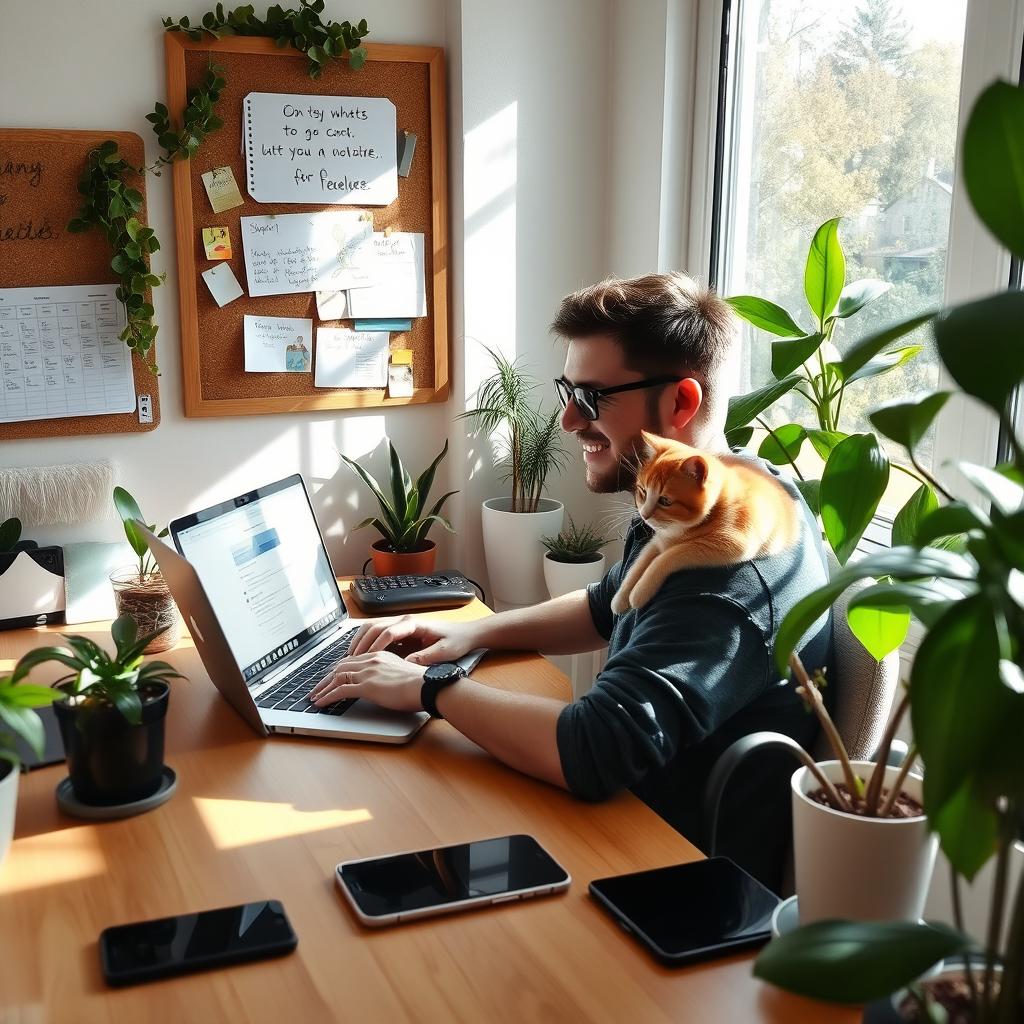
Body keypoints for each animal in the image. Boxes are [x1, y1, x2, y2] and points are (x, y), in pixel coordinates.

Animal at [606, 428, 798, 610]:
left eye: (665, 501)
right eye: (643, 491)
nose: (644, 515)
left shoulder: (732, 542)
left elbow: (669, 555)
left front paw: (640, 591)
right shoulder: (659, 539)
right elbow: (640, 562)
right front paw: (620, 597)